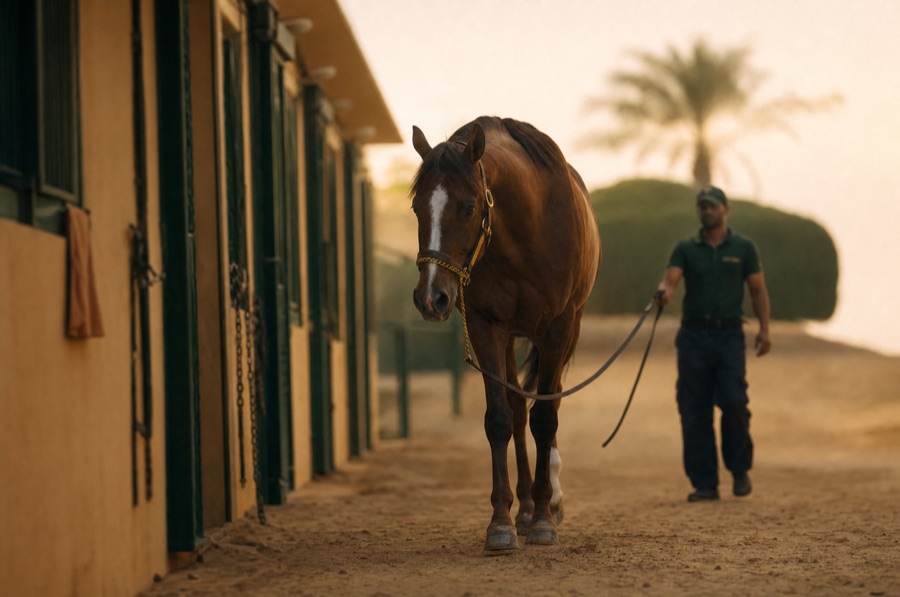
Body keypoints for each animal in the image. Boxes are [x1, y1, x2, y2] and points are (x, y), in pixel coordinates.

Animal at [410, 116, 601, 551]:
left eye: (468, 207)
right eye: (416, 207)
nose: (431, 297)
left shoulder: (558, 327)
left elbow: (546, 418)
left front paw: (545, 520)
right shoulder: (486, 326)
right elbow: (499, 417)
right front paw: (501, 522)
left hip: (568, 328)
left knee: (549, 401)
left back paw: (547, 503)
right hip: (511, 336)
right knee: (516, 409)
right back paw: (527, 508)